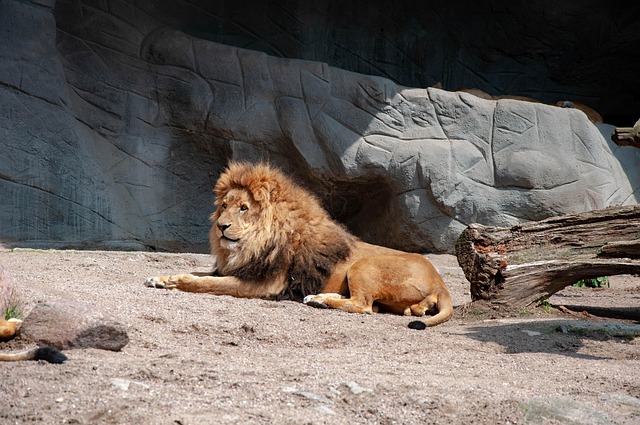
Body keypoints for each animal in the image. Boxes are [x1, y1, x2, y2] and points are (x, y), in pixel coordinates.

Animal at [145, 162, 453, 328]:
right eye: (224, 206)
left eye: (243, 208)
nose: (221, 226)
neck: (251, 245)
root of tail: (440, 282)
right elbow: (200, 273)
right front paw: (159, 278)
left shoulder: (264, 284)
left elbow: (205, 283)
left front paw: (175, 281)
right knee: (371, 306)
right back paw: (320, 297)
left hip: (364, 264)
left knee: (364, 306)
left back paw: (319, 300)